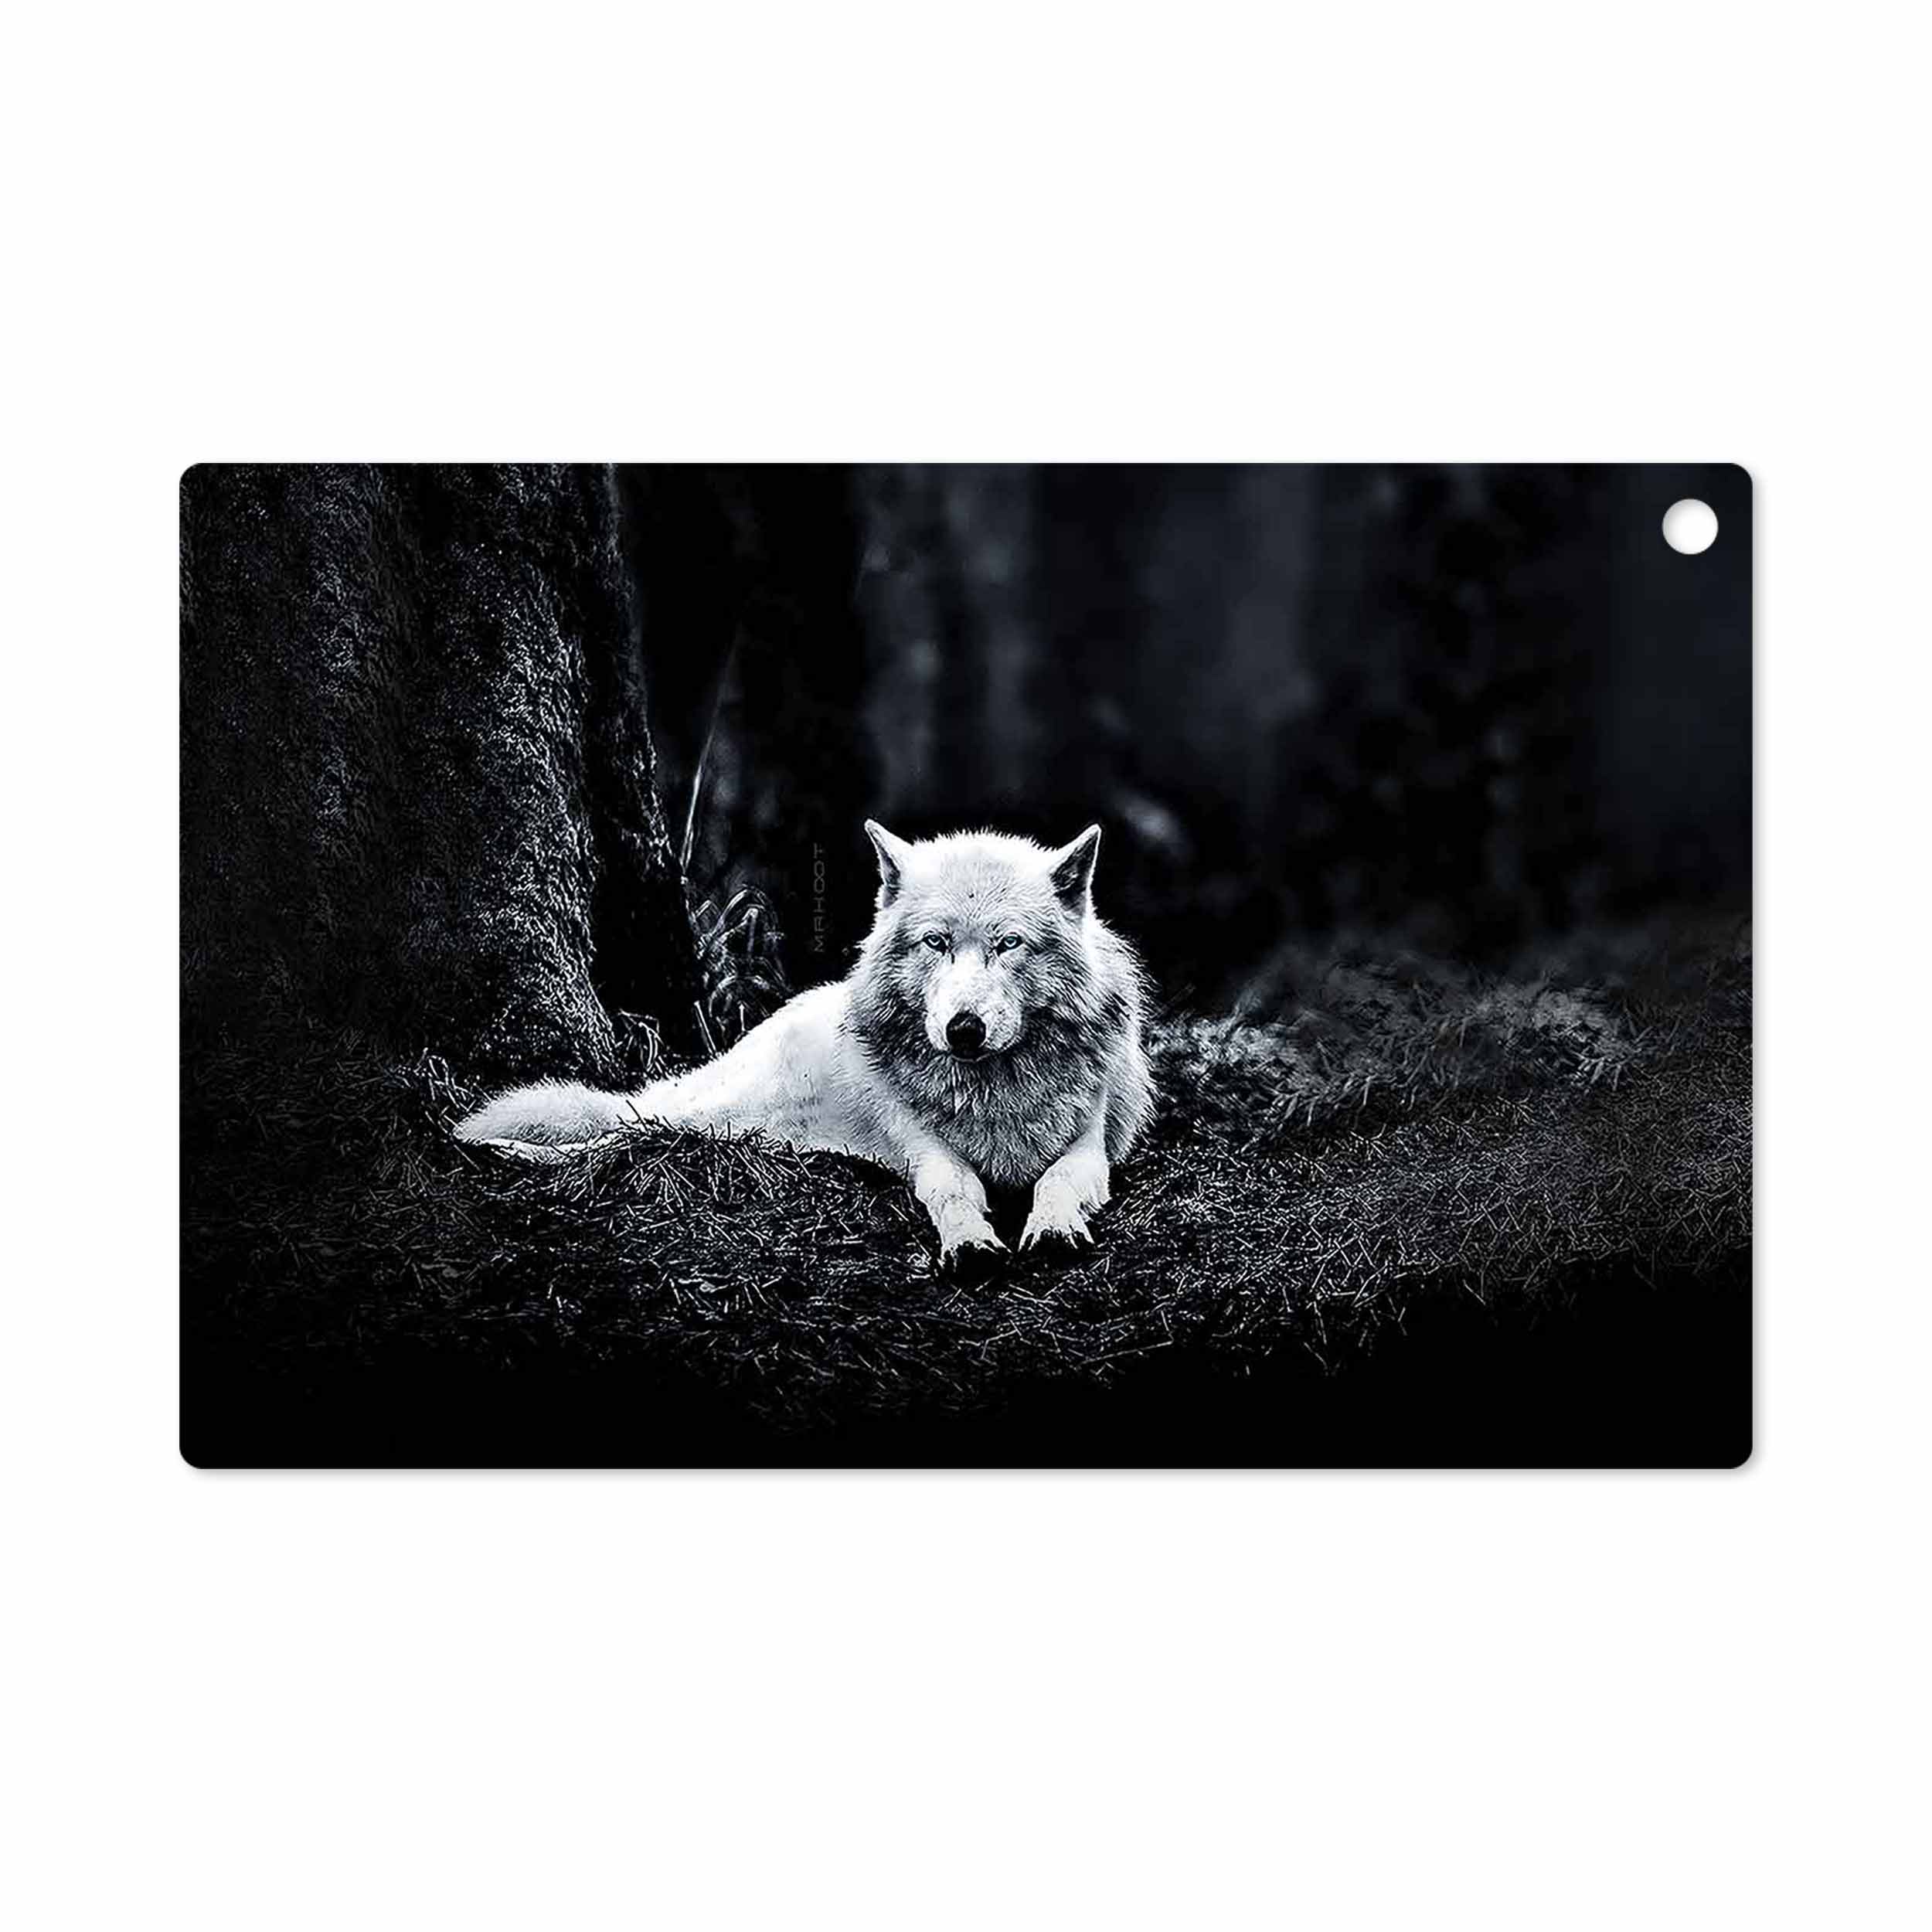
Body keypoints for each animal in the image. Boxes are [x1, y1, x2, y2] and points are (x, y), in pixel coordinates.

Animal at [455, 822, 1155, 1268]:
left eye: (1009, 944)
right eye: (936, 943)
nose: (964, 1029)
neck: (993, 1093)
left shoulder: (1090, 1150)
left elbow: (1056, 1182)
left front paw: (1054, 1228)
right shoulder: (926, 1153)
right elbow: (954, 1191)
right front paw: (969, 1243)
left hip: (752, 1135)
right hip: (716, 1115)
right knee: (622, 1132)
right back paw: (503, 1148)